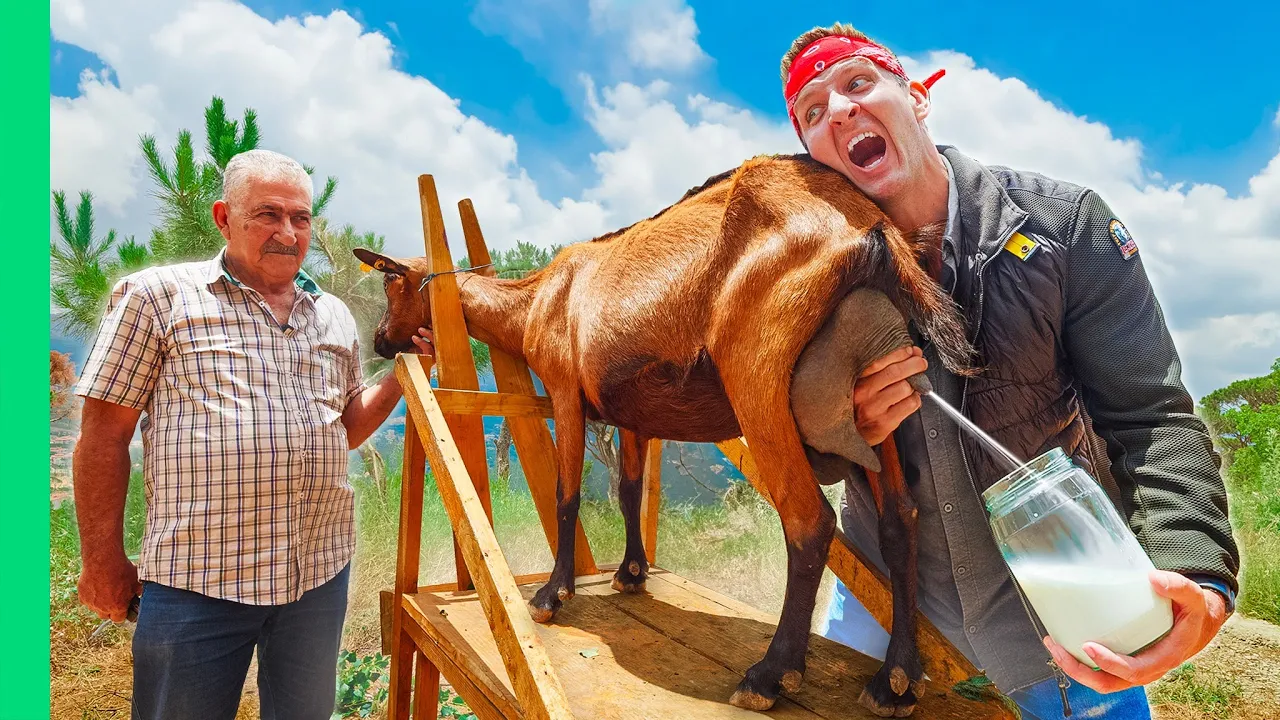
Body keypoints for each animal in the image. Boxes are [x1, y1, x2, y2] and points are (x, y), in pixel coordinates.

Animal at [355, 152, 972, 712]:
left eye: (391, 285)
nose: (381, 340)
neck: (536, 299)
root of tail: (873, 229)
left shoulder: (564, 390)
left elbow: (565, 493)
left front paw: (552, 595)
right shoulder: (633, 414)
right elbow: (629, 492)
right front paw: (631, 573)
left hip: (757, 374)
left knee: (808, 520)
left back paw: (770, 675)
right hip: (879, 388)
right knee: (900, 518)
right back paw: (896, 680)